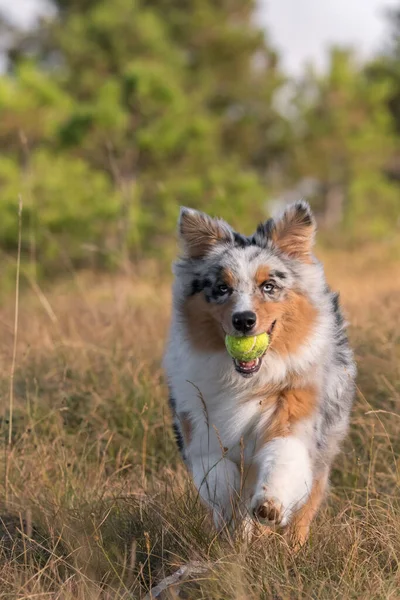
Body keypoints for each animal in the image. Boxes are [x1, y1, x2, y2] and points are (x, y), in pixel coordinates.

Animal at [162, 202, 356, 548]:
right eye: (222, 288)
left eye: (269, 286)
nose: (243, 320)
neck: (245, 380)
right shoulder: (200, 424)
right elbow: (217, 476)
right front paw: (230, 510)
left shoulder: (295, 410)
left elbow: (282, 457)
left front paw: (269, 505)